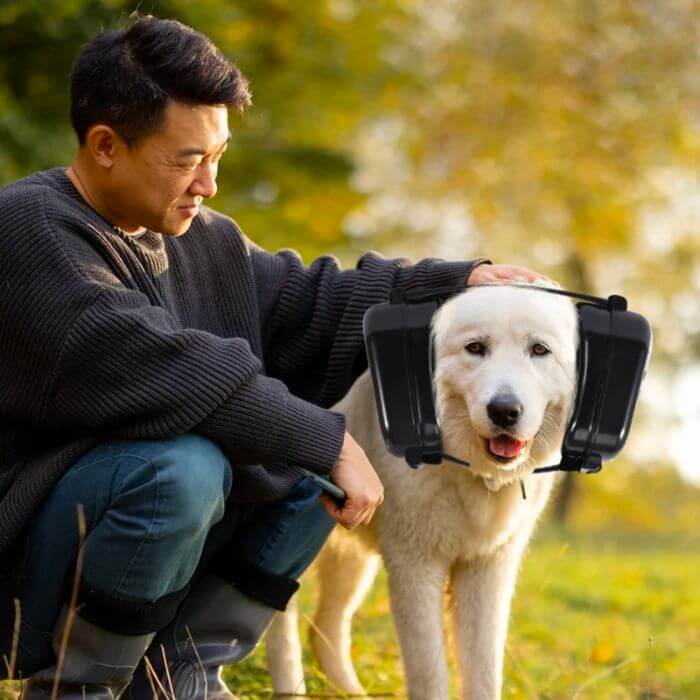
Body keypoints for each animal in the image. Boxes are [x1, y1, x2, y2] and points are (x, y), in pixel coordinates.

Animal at [266, 284, 576, 700]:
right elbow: (429, 670)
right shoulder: (415, 565)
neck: (472, 472)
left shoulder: (487, 570)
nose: (504, 411)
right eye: (476, 348)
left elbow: (484, 671)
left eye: (539, 350)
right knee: (281, 624)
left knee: (326, 624)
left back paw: (350, 690)